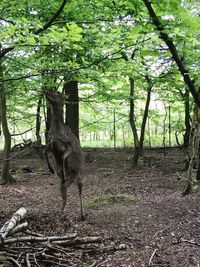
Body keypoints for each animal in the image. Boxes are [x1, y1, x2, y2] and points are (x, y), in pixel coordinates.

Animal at [44, 89, 84, 221]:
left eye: (57, 92)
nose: (46, 88)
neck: (57, 133)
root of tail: (74, 180)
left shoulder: (69, 145)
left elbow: (62, 157)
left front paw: (63, 172)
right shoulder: (50, 143)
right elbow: (44, 151)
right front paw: (52, 169)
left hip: (80, 177)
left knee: (80, 193)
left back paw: (82, 215)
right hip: (63, 186)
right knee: (65, 197)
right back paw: (60, 215)